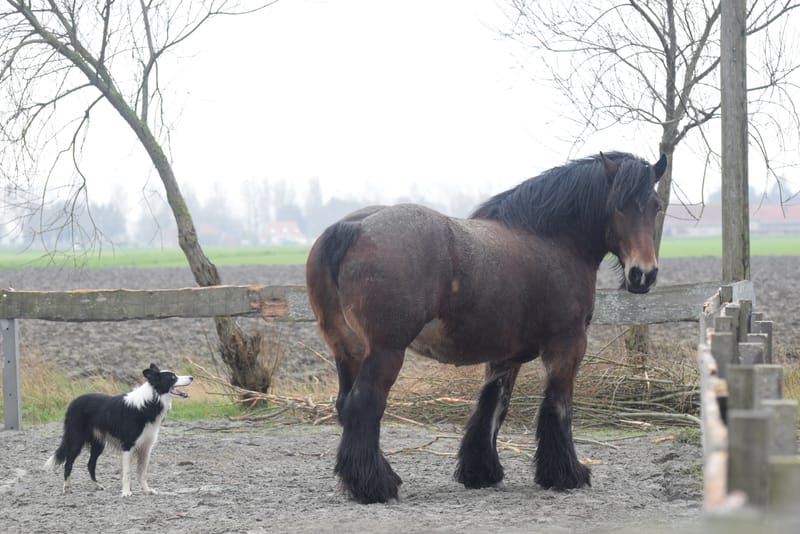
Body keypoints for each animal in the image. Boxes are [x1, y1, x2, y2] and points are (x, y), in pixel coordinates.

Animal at [305, 151, 667, 504]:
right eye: (618, 205)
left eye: (655, 205)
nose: (643, 274)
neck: (552, 240)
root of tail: (354, 228)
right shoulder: (568, 344)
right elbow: (557, 406)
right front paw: (567, 475)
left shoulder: (506, 355)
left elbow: (492, 407)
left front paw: (481, 472)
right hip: (385, 352)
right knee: (364, 406)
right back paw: (376, 486)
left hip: (349, 351)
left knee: (347, 407)